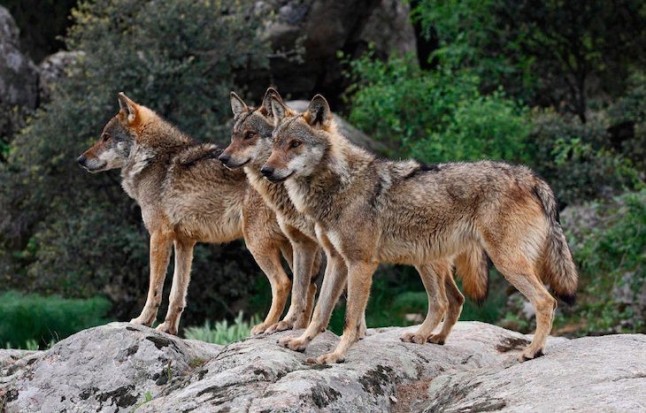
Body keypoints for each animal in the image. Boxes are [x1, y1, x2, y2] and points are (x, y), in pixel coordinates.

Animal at [77, 93, 297, 335]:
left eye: (105, 138)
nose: (80, 160)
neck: (151, 158)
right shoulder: (184, 242)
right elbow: (177, 293)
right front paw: (168, 328)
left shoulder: (159, 236)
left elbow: (155, 289)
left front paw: (142, 321)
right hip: (289, 246)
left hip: (256, 243)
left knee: (283, 283)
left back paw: (267, 326)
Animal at [220, 88, 491, 346]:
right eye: (234, 136)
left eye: (249, 135)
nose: (222, 158)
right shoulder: (302, 245)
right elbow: (301, 290)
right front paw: (290, 326)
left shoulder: (344, 251)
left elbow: (337, 295)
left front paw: (354, 333)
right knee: (457, 298)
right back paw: (437, 337)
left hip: (423, 258)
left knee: (445, 300)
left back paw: (423, 335)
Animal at [262, 94, 578, 364]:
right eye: (275, 144)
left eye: (295, 144)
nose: (265, 170)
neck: (339, 184)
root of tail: (531, 176)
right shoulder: (338, 261)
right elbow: (320, 311)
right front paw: (300, 342)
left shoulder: (361, 263)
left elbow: (351, 318)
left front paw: (336, 355)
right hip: (427, 259)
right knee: (445, 302)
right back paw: (428, 337)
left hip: (503, 262)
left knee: (546, 301)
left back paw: (532, 351)